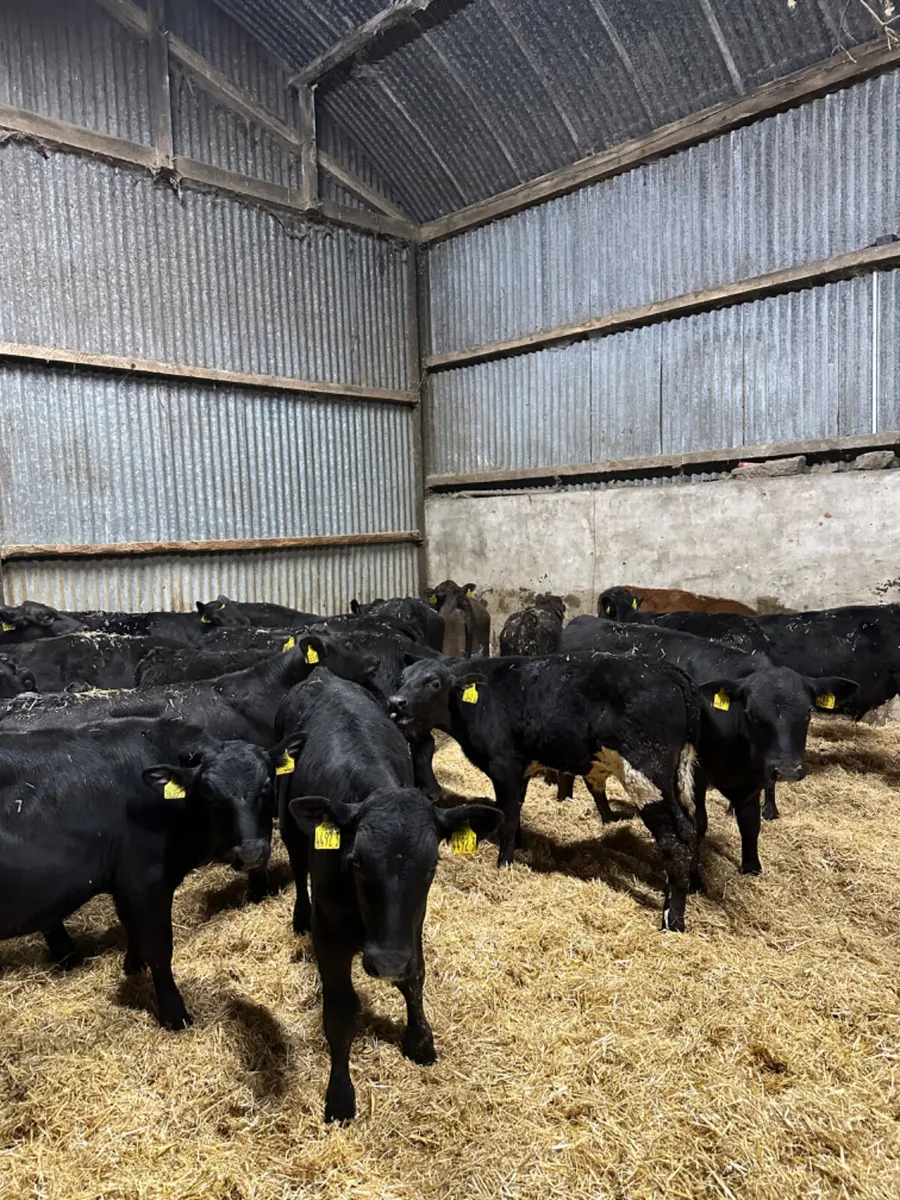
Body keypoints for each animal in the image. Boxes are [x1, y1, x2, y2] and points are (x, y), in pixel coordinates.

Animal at [0, 715, 300, 1028]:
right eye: (210, 796)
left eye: (266, 786)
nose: (252, 853)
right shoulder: (146, 881)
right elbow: (159, 948)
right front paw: (175, 1014)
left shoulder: (126, 883)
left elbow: (132, 927)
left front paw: (133, 966)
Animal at [278, 668, 499, 1121]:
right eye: (356, 862)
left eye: (432, 866)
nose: (386, 963)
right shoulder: (330, 932)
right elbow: (340, 1011)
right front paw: (340, 1096)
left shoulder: (411, 924)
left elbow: (415, 978)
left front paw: (420, 1041)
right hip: (289, 822)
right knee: (295, 861)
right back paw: (298, 915)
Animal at [389, 653, 701, 932]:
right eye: (402, 679)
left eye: (434, 682)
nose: (395, 703)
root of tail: (665, 670)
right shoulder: (521, 770)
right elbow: (516, 811)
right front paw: (518, 847)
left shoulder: (504, 766)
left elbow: (508, 817)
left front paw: (503, 863)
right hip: (676, 780)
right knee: (691, 829)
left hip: (645, 776)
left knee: (674, 841)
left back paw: (673, 922)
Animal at [560, 616, 857, 858]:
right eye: (751, 713)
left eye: (808, 712)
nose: (786, 771)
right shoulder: (697, 772)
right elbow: (700, 821)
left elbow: (751, 821)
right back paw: (578, 804)